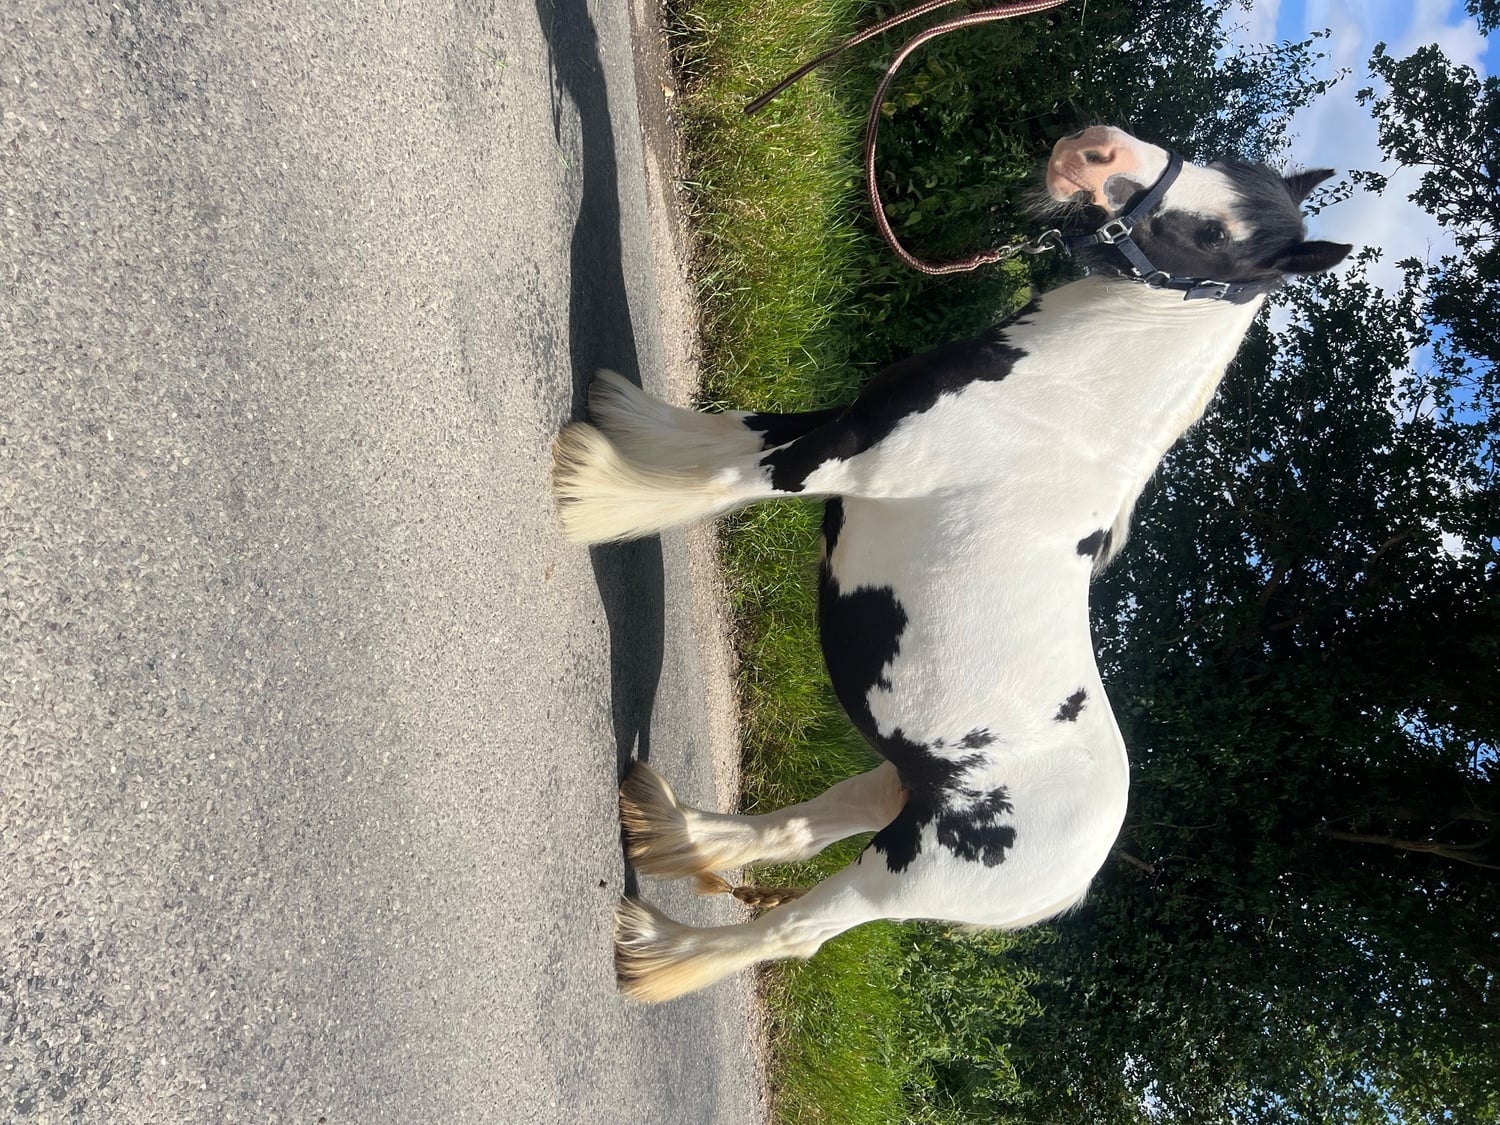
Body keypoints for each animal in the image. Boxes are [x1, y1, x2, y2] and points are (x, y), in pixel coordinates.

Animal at [552, 126, 1352, 1002]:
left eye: (1215, 235)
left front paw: (588, 491)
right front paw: (622, 419)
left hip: (902, 871)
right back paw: (664, 828)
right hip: (904, 782)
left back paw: (652, 950)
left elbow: (723, 480)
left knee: (795, 929)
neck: (1064, 407)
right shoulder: (851, 422)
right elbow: (730, 432)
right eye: (1218, 163)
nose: (1093, 149)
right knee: (801, 827)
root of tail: (1075, 876)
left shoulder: (841, 460)